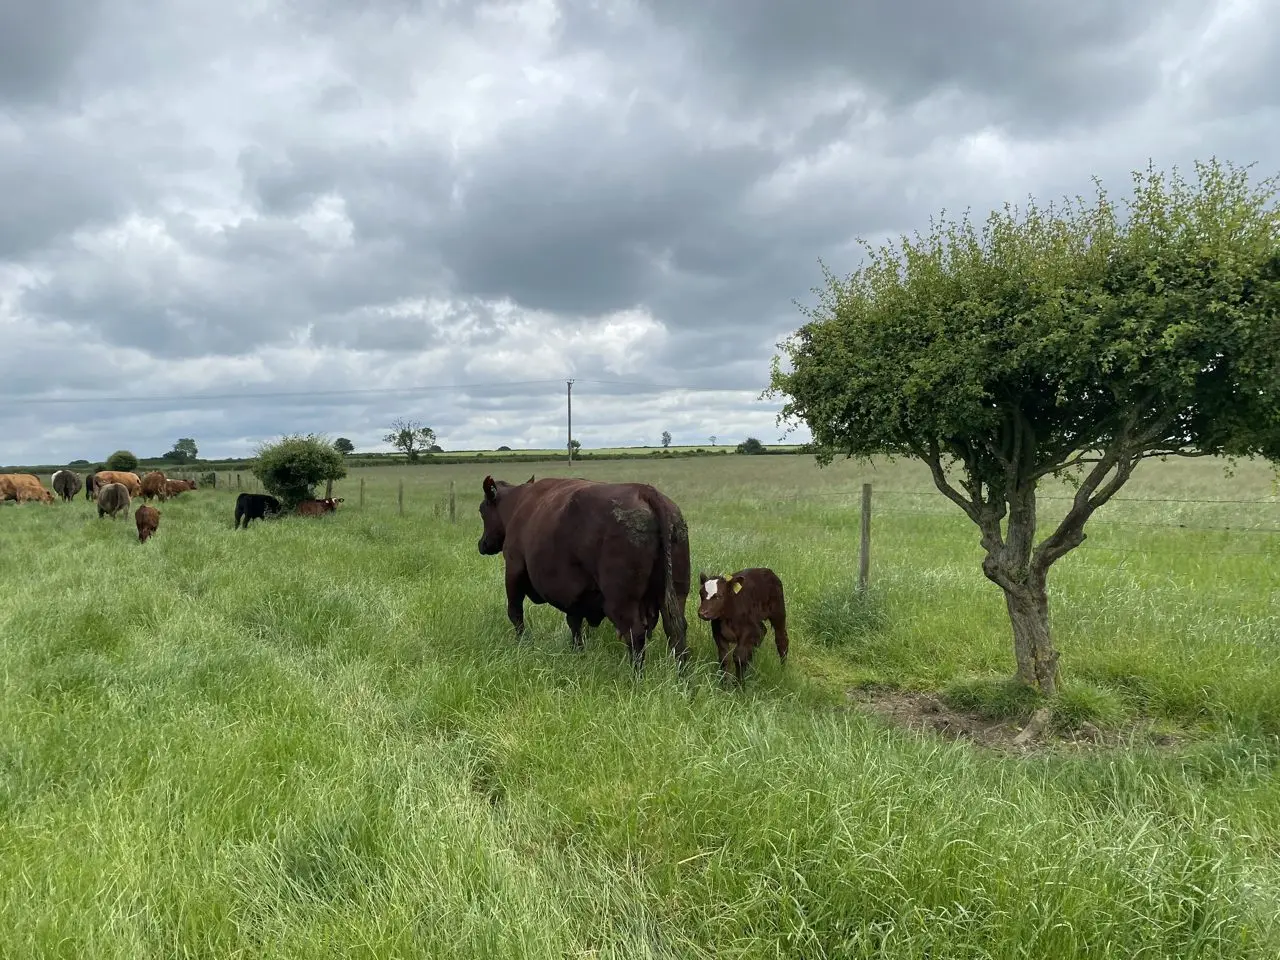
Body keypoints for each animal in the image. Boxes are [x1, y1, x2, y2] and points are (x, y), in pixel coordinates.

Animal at [477, 474, 691, 673]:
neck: (517, 504)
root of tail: (645, 491)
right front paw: (577, 651)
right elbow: (574, 622)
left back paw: (636, 677)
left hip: (621, 601)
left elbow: (515, 613)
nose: (482, 544)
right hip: (676, 592)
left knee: (635, 633)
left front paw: (523, 643)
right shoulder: (574, 594)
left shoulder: (514, 569)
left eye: (482, 510)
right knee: (677, 630)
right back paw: (682, 678)